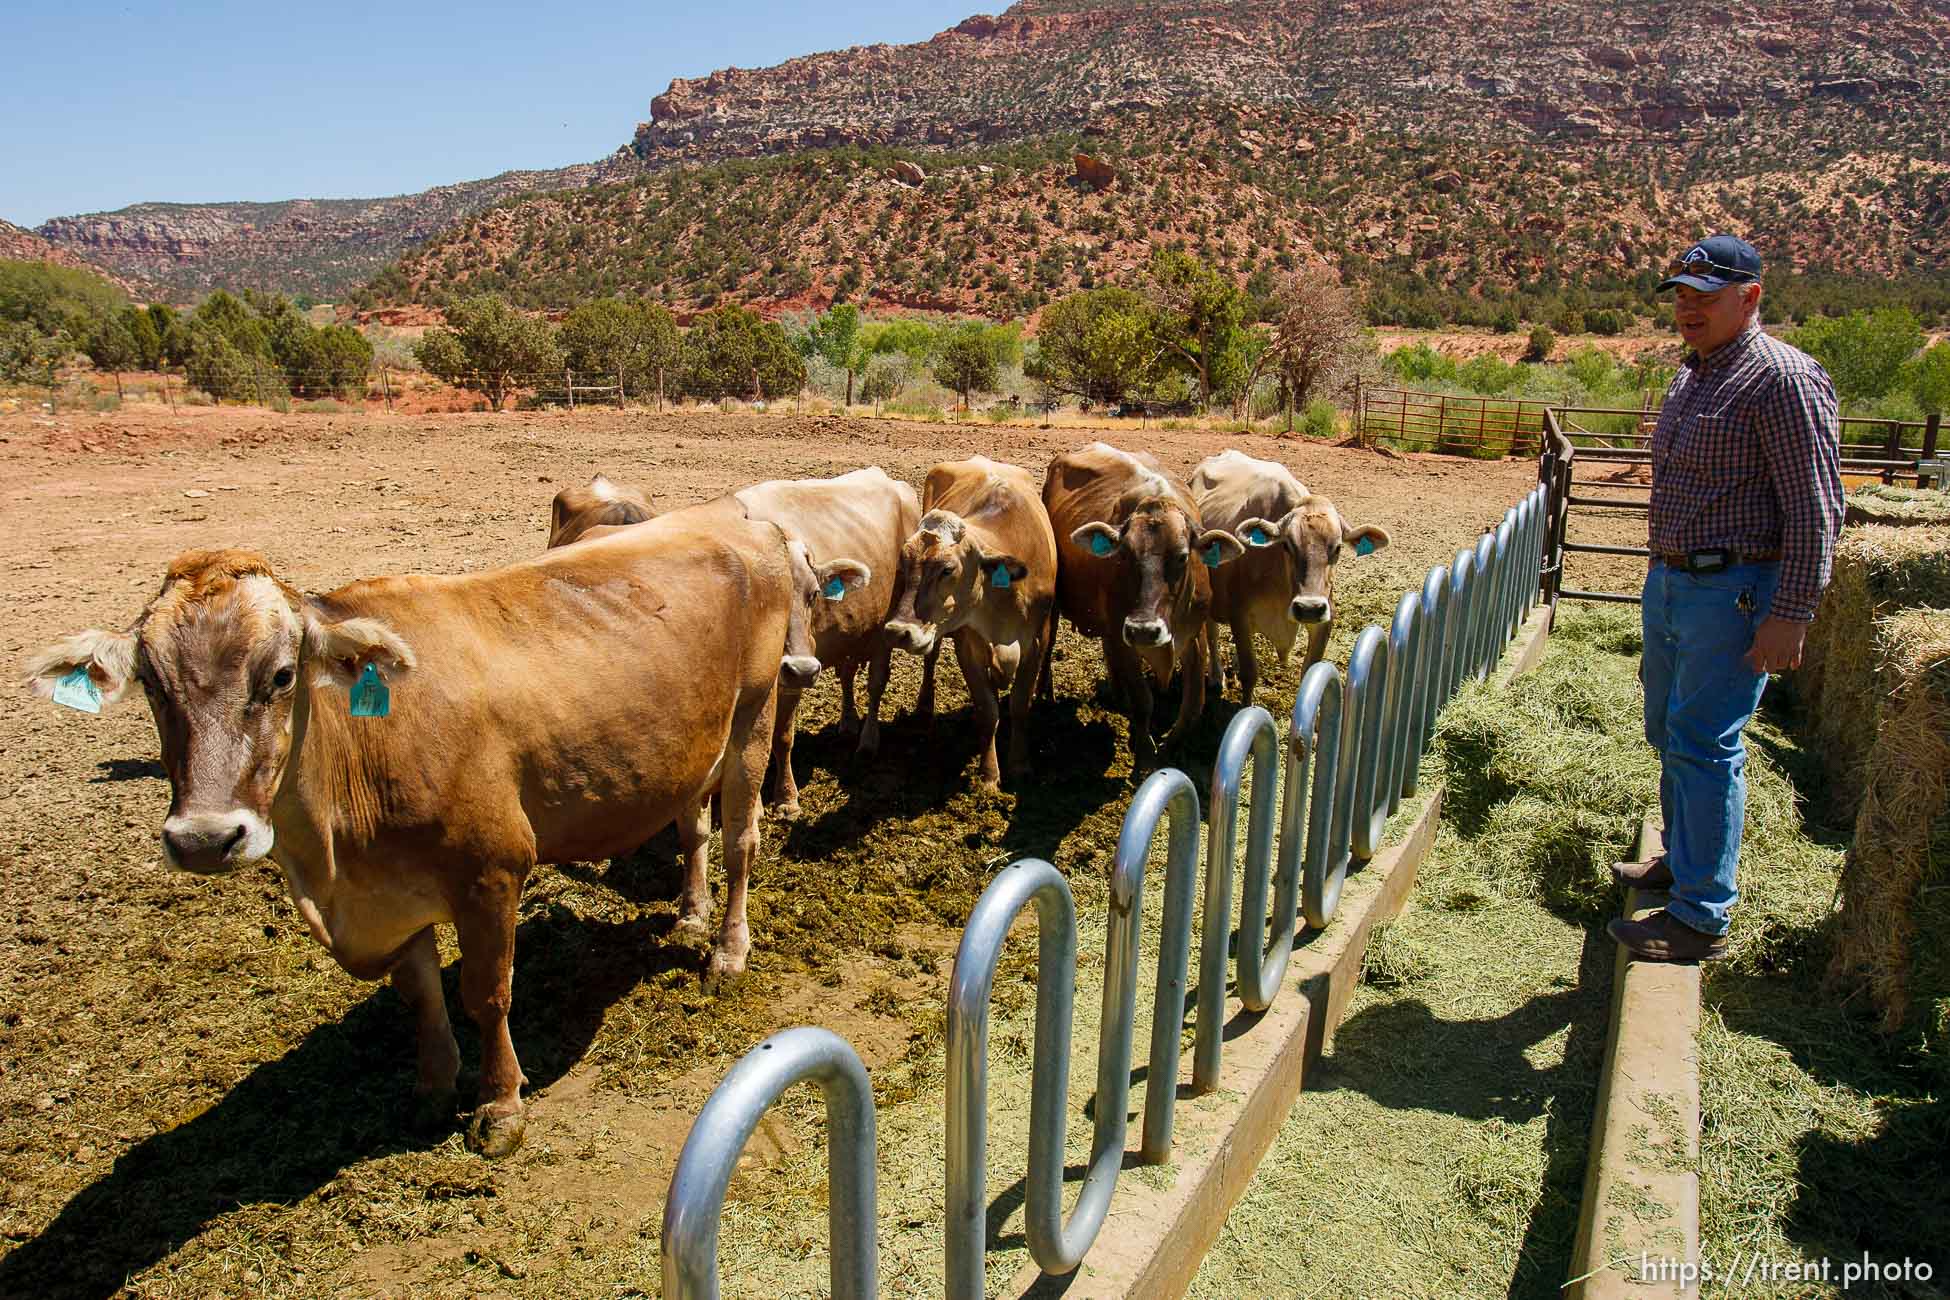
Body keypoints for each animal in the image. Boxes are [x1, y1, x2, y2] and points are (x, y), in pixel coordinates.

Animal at [22, 514, 803, 1153]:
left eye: (281, 675)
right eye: (153, 685)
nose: (205, 838)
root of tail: (735, 519)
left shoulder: (491, 869)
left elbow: (486, 994)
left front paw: (500, 1107)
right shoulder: (391, 898)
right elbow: (421, 996)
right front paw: (432, 1090)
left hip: (754, 718)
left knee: (740, 841)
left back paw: (727, 951)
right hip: (690, 748)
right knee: (692, 827)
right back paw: (691, 912)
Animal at [889, 452, 1060, 787]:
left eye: (947, 569)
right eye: (905, 560)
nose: (898, 630)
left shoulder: (1034, 643)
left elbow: (1020, 705)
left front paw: (1020, 764)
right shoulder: (967, 647)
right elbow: (988, 710)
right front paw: (989, 773)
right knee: (931, 657)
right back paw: (924, 705)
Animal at [1045, 442, 1240, 767]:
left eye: (1183, 556)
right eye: (1124, 554)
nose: (1144, 630)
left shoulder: (1193, 635)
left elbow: (1193, 706)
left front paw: (1169, 748)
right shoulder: (1123, 636)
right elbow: (1142, 701)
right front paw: (1147, 755)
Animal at [1185, 448, 1388, 701]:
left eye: (1338, 548)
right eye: (1287, 545)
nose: (1309, 608)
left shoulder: (1324, 621)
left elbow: (1309, 671)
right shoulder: (1239, 616)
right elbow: (1250, 674)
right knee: (1212, 633)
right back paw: (1215, 675)